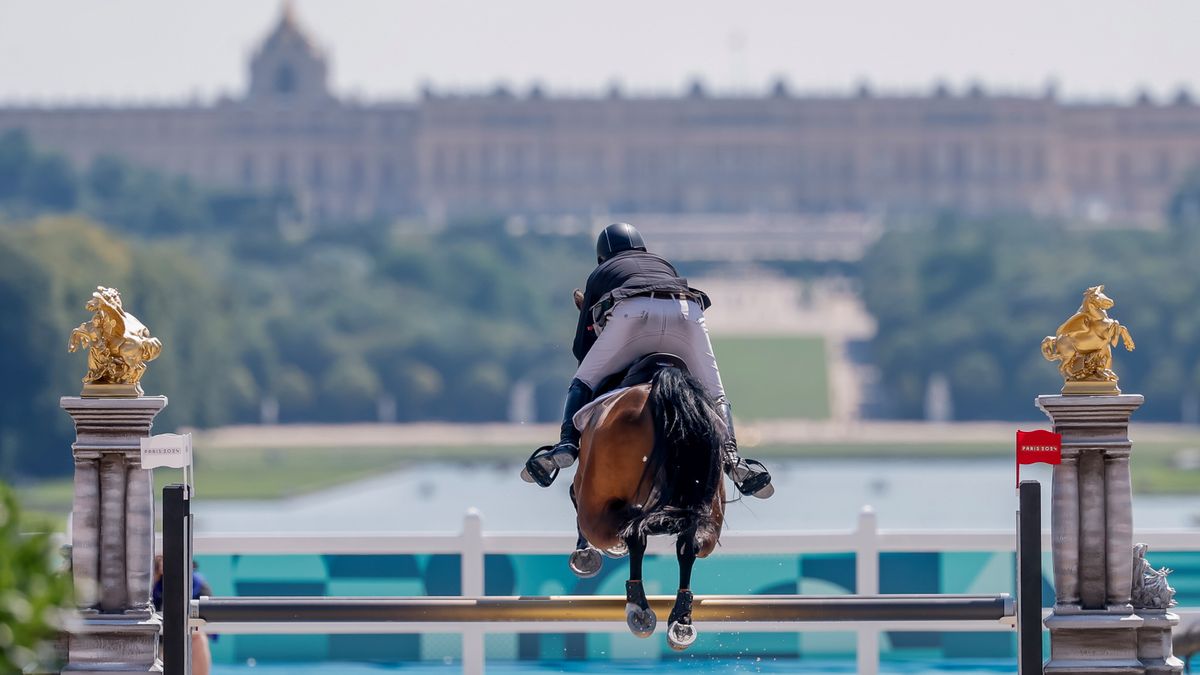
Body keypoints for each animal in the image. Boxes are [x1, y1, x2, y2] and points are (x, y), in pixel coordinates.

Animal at [559, 285, 724, 648]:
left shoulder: (587, 491)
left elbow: (578, 503)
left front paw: (587, 556)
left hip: (599, 501)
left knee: (630, 529)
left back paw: (638, 608)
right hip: (708, 505)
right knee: (689, 541)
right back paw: (680, 620)